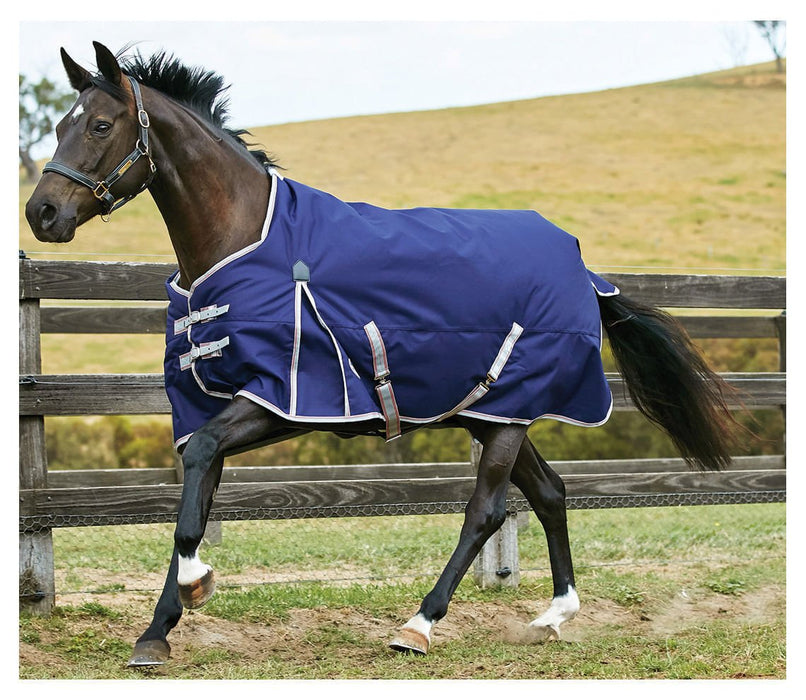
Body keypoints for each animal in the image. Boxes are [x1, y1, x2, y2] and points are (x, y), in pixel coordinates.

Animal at [25, 42, 739, 668]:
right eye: (60, 125)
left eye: (100, 124)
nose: (43, 213)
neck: (248, 243)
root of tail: (583, 269)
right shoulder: (216, 405)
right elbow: (195, 502)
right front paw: (157, 633)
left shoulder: (281, 400)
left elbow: (194, 490)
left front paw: (197, 588)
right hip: (493, 412)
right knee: (551, 493)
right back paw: (554, 615)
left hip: (507, 417)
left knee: (487, 511)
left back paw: (419, 625)